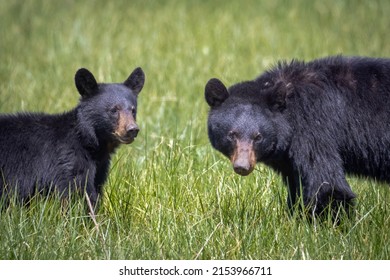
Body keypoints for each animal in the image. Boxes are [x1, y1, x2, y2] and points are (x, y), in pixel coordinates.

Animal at [0, 66, 145, 210]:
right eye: (114, 110)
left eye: (133, 110)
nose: (132, 129)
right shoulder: (68, 161)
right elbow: (75, 193)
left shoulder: (99, 169)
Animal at [204, 55, 390, 217]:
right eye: (232, 135)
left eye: (258, 137)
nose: (242, 166)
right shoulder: (288, 160)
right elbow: (297, 186)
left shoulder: (313, 127)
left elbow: (326, 183)